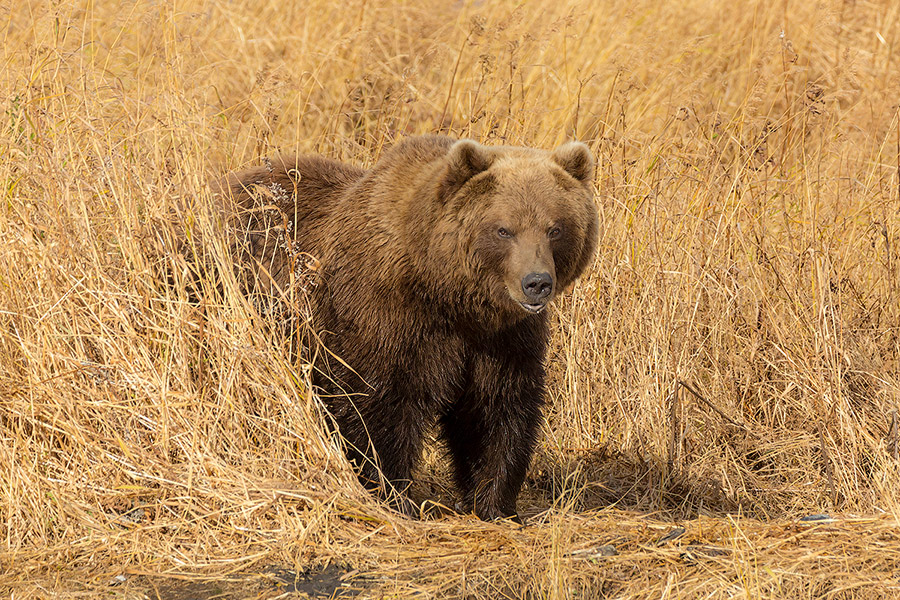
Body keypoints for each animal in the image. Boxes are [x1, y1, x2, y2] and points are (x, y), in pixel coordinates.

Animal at [216, 135, 596, 520]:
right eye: (504, 229)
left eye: (555, 228)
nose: (537, 282)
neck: (448, 295)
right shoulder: (385, 319)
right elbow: (378, 406)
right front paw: (394, 495)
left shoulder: (503, 339)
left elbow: (497, 408)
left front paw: (493, 501)